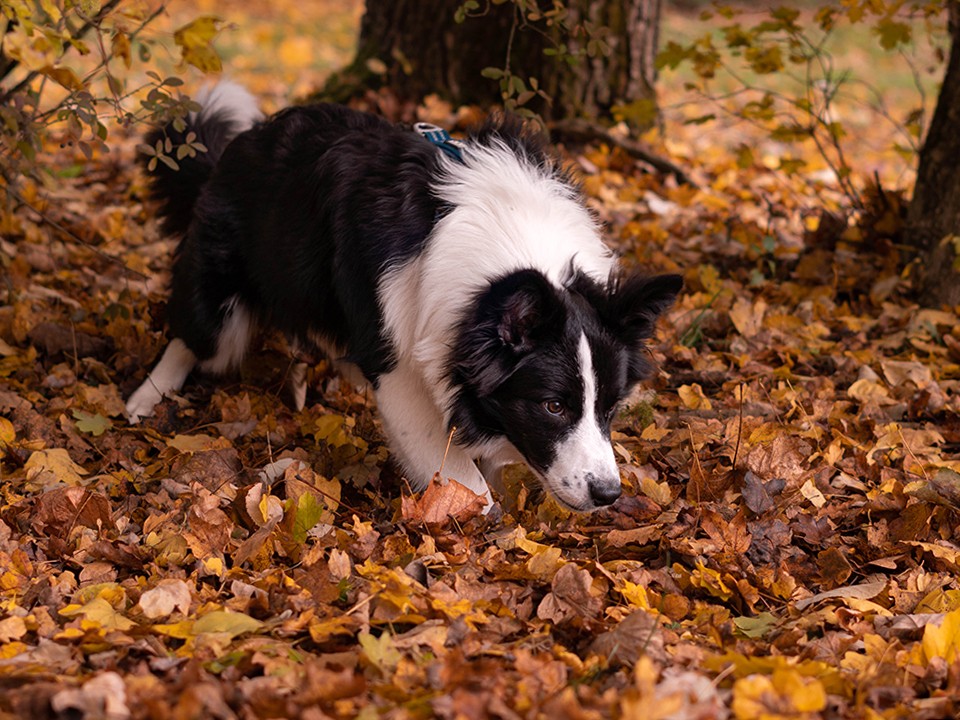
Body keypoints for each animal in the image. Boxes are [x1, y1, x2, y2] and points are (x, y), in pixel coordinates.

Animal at [127, 83, 684, 512]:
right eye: (553, 406)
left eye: (612, 406)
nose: (609, 494)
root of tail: (240, 143)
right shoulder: (401, 369)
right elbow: (467, 484)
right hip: (223, 298)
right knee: (194, 334)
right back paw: (147, 397)